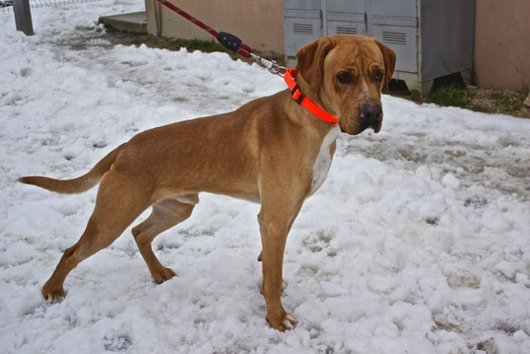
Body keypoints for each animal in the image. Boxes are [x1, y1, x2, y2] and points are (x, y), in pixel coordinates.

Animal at [18, 34, 394, 330]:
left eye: (378, 75)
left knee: (140, 233)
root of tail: (125, 147)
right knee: (73, 251)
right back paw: (52, 290)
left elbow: (270, 267)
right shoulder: (273, 217)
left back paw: (157, 273)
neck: (312, 116)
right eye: (343, 77)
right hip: (111, 219)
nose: (372, 113)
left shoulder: (286, 213)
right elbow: (272, 274)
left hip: (176, 208)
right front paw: (275, 318)